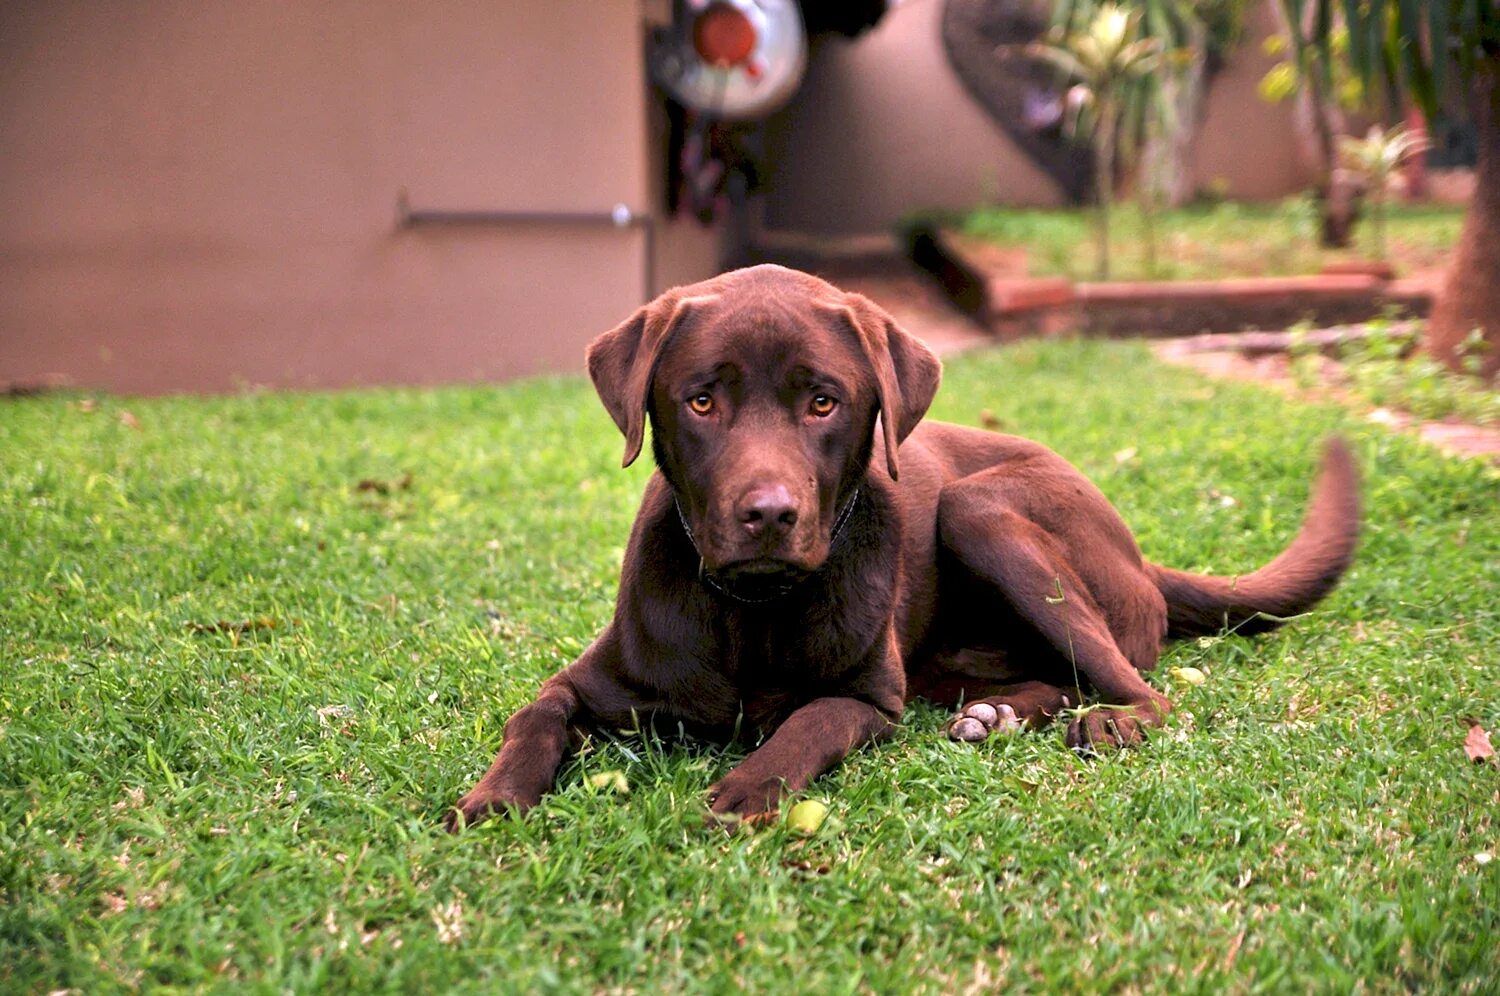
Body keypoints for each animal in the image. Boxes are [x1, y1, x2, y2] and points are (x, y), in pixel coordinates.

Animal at [444, 262, 1362, 822]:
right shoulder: (590, 681)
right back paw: (995, 714)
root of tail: (1141, 556)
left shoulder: (869, 700)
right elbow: (535, 714)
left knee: (1143, 688)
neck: (754, 612)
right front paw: (493, 798)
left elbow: (805, 723)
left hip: (981, 510)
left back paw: (1105, 722)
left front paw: (747, 788)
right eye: (702, 401)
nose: (770, 513)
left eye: (823, 402)